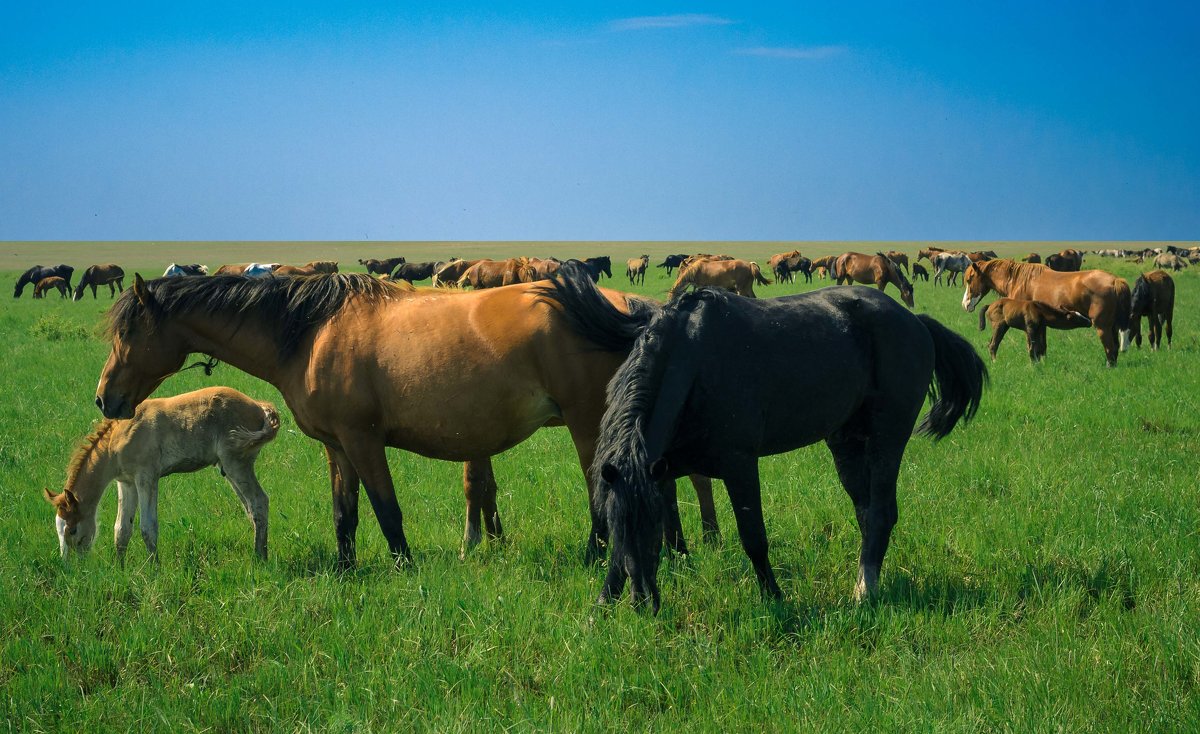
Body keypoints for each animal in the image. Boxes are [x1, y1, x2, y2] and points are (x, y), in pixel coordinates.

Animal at [44, 386, 278, 563]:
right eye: (58, 528)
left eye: (72, 530)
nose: (69, 566)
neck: (117, 439)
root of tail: (259, 407)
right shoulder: (126, 483)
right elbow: (121, 529)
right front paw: (119, 568)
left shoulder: (146, 477)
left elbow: (148, 527)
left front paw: (154, 569)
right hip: (228, 469)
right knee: (250, 508)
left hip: (236, 463)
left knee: (259, 502)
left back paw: (260, 557)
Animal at [542, 263, 984, 614]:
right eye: (619, 530)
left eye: (649, 538)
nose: (642, 604)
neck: (692, 362)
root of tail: (916, 322)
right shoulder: (656, 474)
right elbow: (656, 533)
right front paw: (601, 606)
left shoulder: (739, 465)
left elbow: (753, 537)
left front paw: (774, 597)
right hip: (845, 441)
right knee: (866, 511)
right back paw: (866, 580)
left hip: (886, 439)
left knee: (880, 512)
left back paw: (865, 593)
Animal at [960, 257, 1128, 367]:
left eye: (969, 280)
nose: (965, 304)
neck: (1021, 281)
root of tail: (1115, 281)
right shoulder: (1042, 325)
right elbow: (1042, 348)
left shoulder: (1029, 327)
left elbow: (1032, 346)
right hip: (1112, 326)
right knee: (1114, 348)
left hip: (1102, 326)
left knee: (1110, 348)